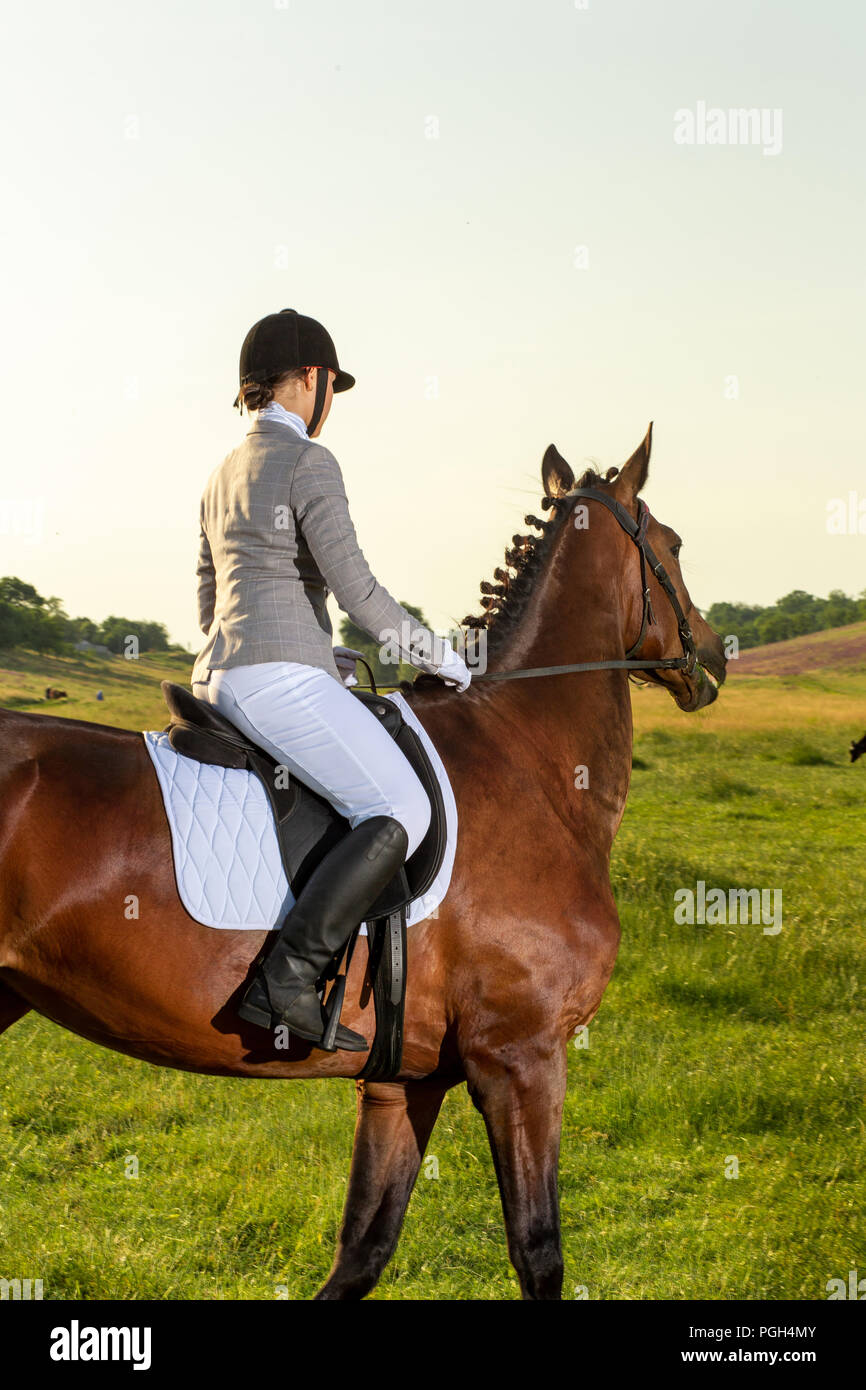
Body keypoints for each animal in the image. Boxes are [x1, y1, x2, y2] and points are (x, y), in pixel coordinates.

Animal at [0, 425, 722, 1301]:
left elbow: (363, 1250)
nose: (713, 658)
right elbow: (538, 1249)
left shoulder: (401, 1082)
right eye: (673, 545)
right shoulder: (521, 1058)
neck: (527, 754)